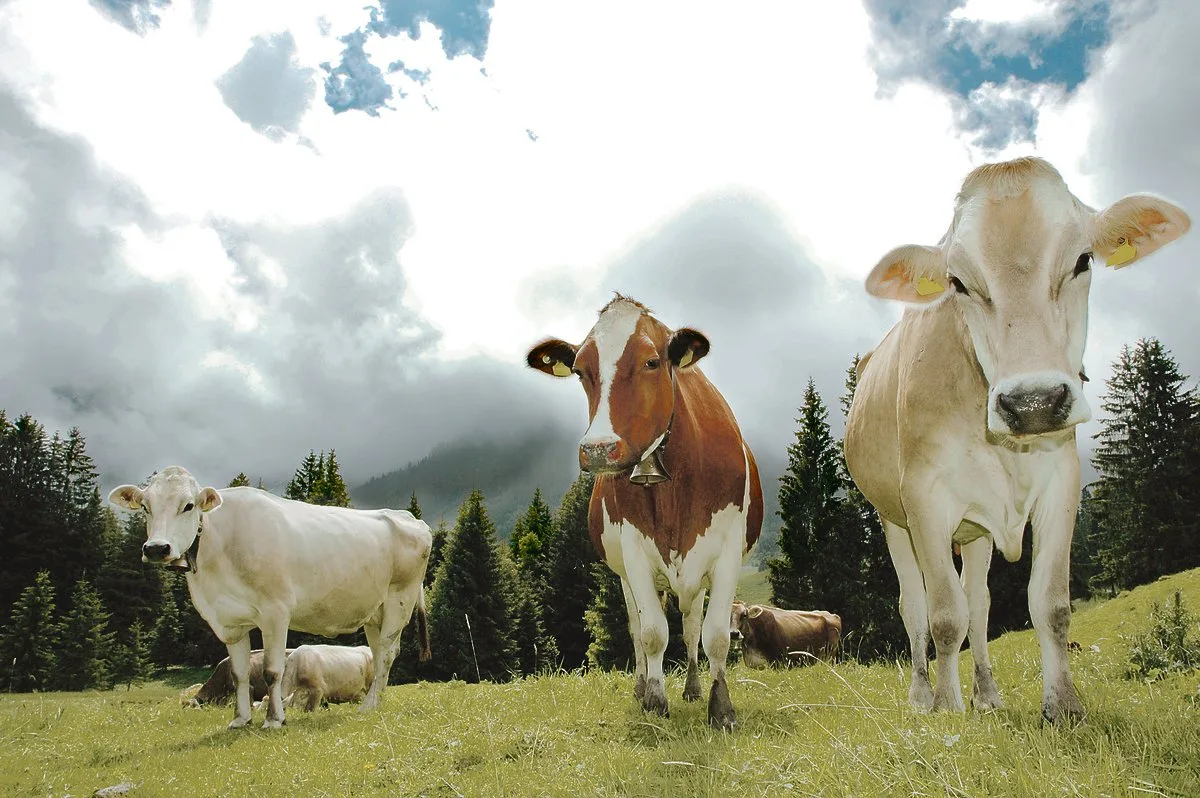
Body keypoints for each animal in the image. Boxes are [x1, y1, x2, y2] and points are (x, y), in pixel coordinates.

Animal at [108, 467, 433, 730]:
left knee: (388, 652)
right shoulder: (229, 621)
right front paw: (240, 719)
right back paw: (377, 702)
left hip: (399, 598)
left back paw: (368, 705)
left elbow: (272, 671)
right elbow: (239, 674)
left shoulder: (276, 612)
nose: (156, 548)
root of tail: (408, 516)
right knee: (379, 655)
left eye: (188, 506)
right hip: (374, 611)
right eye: (145, 507)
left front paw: (275, 719)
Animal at [527, 294, 763, 729]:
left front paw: (720, 707)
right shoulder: (634, 550)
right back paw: (642, 687)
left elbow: (715, 635)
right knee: (638, 630)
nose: (598, 449)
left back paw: (692, 687)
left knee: (690, 627)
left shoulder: (727, 553)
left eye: (652, 362)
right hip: (625, 574)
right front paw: (654, 701)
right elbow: (652, 632)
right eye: (580, 370)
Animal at [844, 156, 1190, 724]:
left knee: (980, 603)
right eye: (958, 282)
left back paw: (987, 694)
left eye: (1083, 260)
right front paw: (948, 711)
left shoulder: (1062, 480)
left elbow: (1049, 603)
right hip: (890, 517)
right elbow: (944, 615)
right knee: (914, 604)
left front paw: (1063, 707)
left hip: (975, 529)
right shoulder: (924, 499)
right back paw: (922, 696)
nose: (1033, 402)